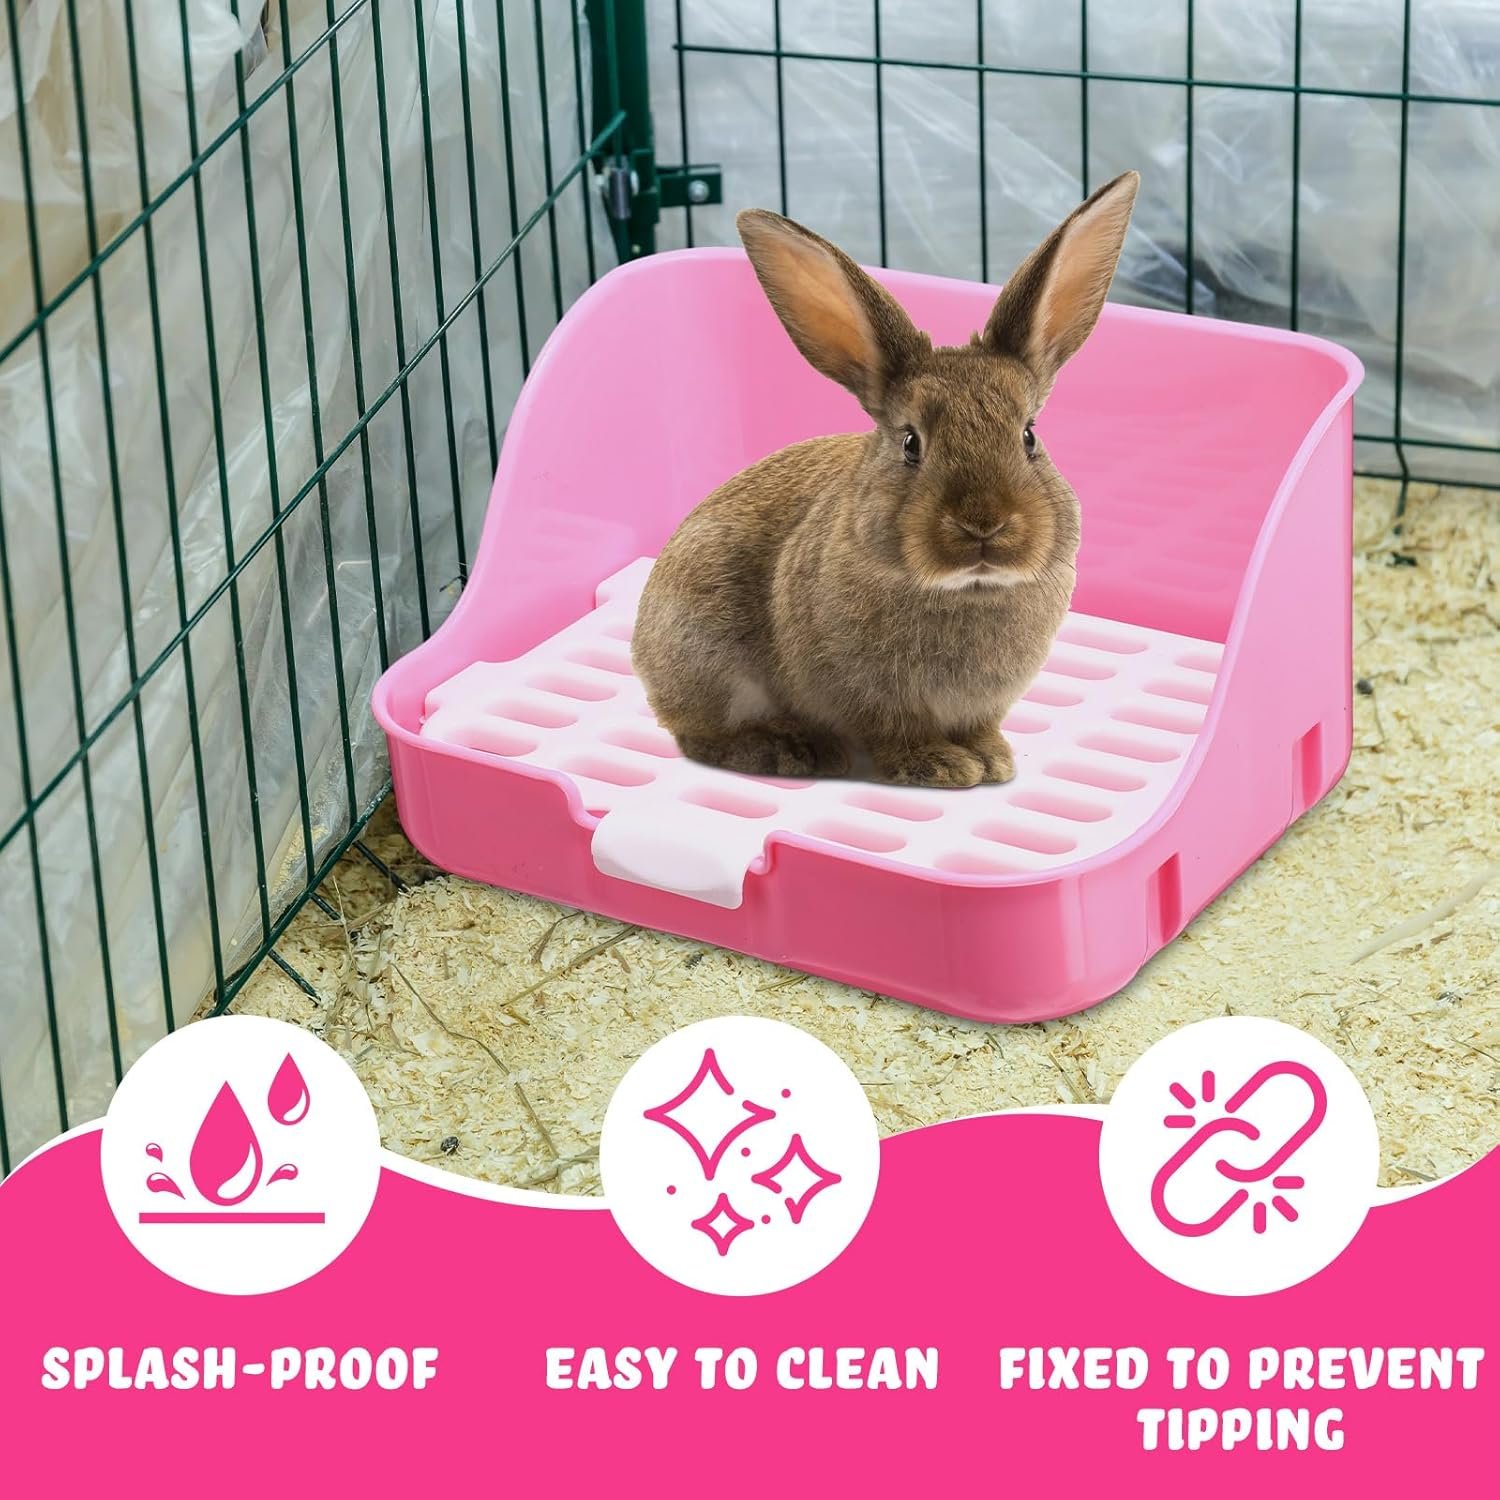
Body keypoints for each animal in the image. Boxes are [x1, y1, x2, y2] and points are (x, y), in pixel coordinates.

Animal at [632, 171, 1139, 789]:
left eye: (1029, 436)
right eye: (910, 443)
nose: (984, 524)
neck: (965, 590)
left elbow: (979, 727)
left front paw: (992, 760)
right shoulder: (871, 700)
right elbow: (897, 734)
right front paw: (944, 767)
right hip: (708, 655)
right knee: (699, 736)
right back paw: (790, 751)